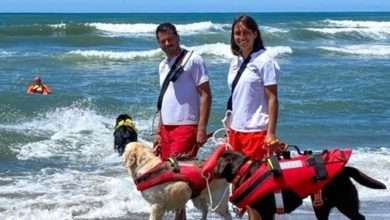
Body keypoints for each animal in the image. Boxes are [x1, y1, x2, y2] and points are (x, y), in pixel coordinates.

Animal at [203, 144, 386, 220]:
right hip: (322, 205)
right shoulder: (264, 212)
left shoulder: (257, 211)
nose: (205, 166)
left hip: (344, 202)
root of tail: (345, 169)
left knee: (359, 217)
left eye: (216, 161)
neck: (244, 169)